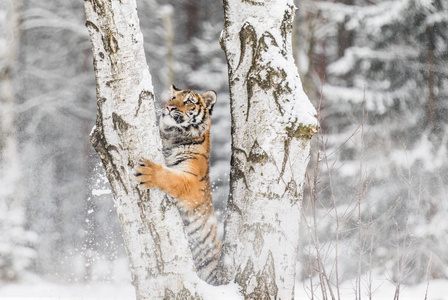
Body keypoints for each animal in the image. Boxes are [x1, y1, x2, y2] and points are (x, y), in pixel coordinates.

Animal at [135, 85, 222, 286]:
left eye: (188, 101)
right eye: (172, 98)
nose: (169, 106)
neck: (172, 137)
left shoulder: (191, 182)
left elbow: (171, 178)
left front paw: (148, 171)